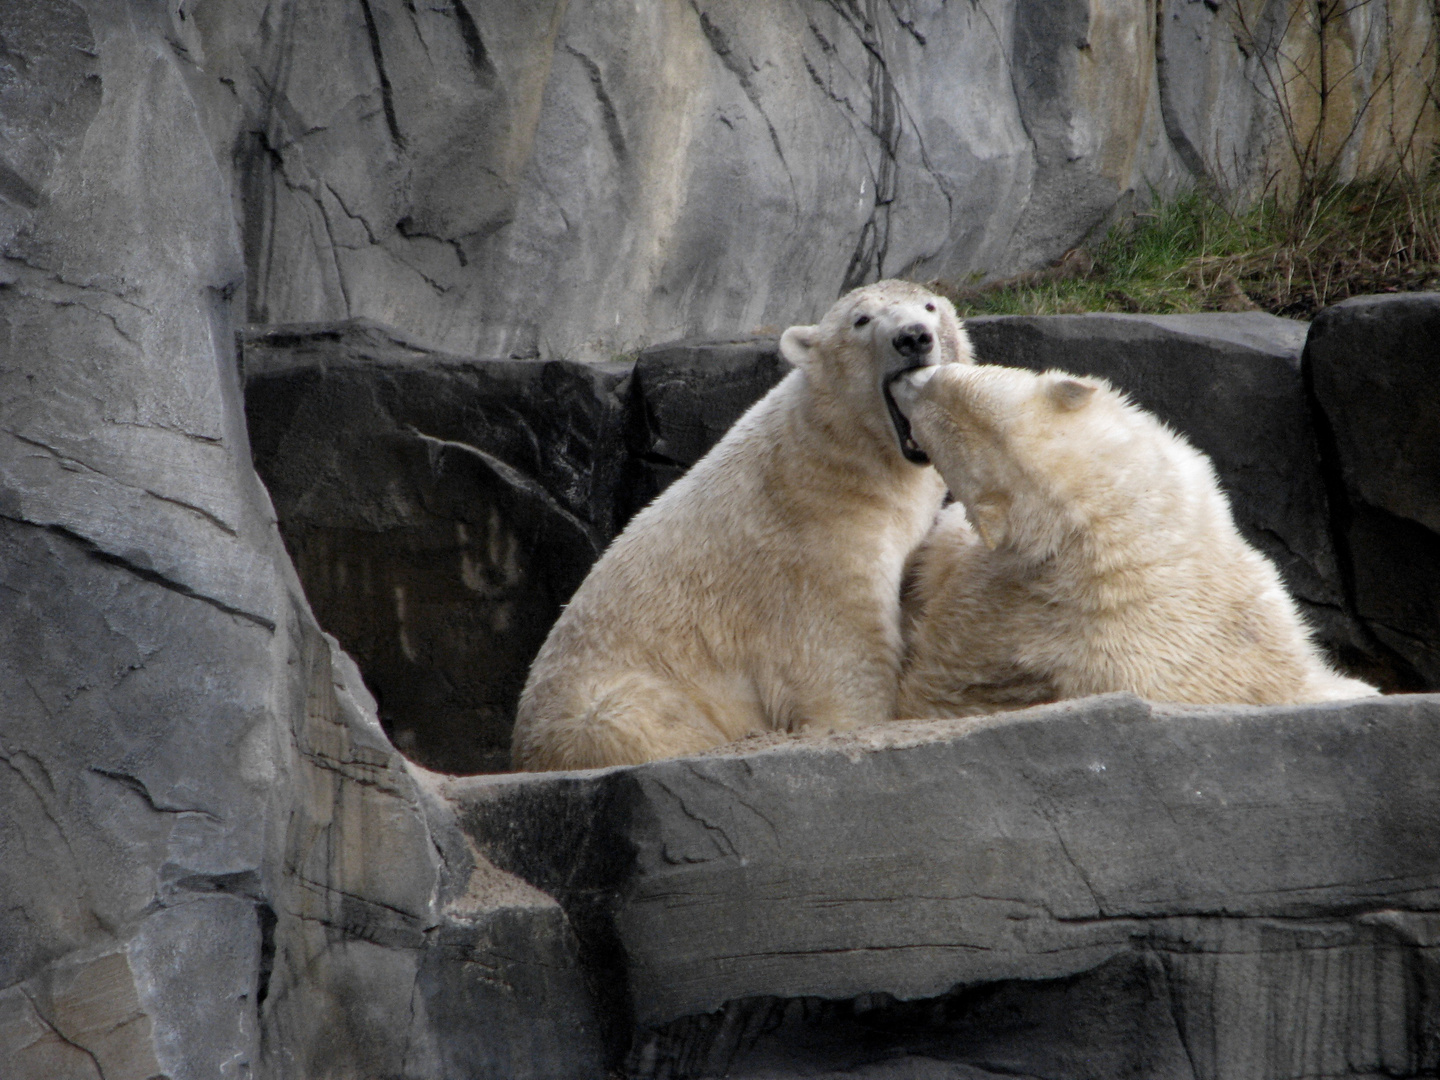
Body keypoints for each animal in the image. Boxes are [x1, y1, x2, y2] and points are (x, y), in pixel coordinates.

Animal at [512, 279, 973, 771]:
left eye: (930, 307)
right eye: (861, 320)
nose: (913, 337)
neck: (841, 457)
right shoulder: (815, 552)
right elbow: (847, 671)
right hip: (615, 704)